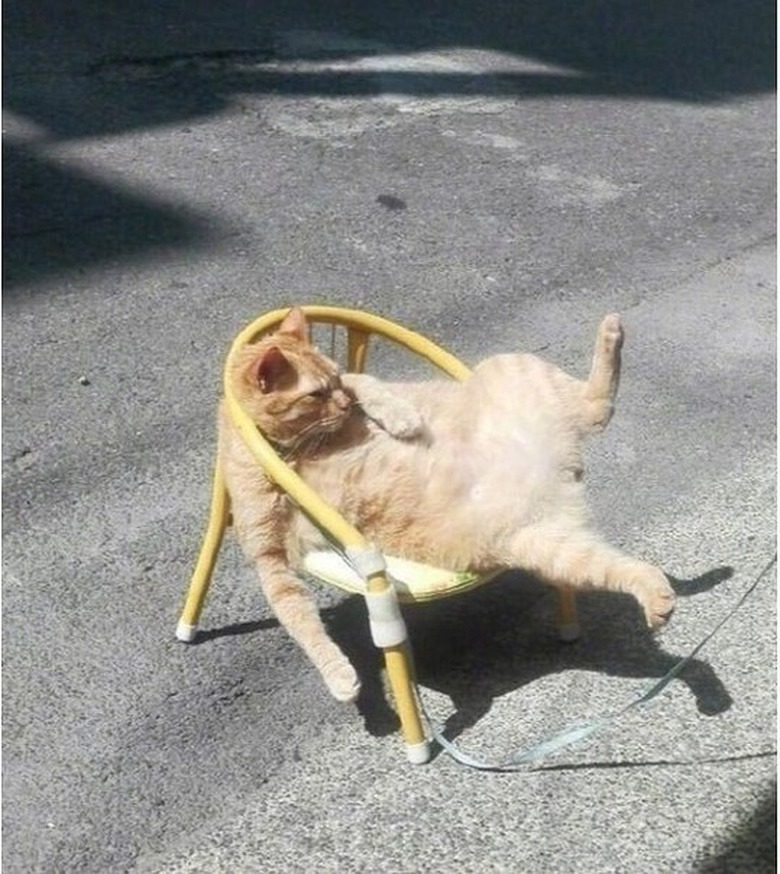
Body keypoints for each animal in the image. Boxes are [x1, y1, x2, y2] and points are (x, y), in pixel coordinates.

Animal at [219, 308, 676, 700]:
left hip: (509, 366)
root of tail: (558, 470)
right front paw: (339, 676)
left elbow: (366, 381)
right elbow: (303, 624)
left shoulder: (359, 384)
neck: (293, 451)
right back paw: (659, 603)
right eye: (316, 394)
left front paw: (400, 416)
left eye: (333, 381)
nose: (344, 406)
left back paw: (612, 331)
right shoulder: (271, 561)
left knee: (597, 407)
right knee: (626, 563)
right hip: (550, 548)